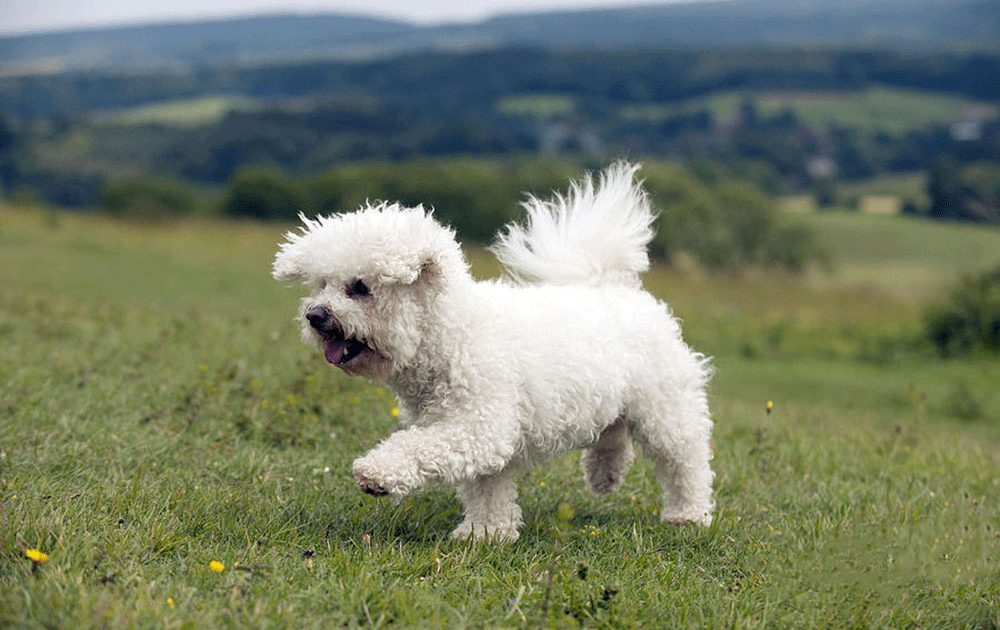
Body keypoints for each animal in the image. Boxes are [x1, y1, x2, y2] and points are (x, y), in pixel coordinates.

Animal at [274, 164, 712, 544]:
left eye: (361, 288)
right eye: (322, 284)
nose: (315, 316)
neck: (455, 334)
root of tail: (618, 286)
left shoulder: (479, 423)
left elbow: (420, 448)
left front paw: (378, 473)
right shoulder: (485, 433)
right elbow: (487, 487)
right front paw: (486, 534)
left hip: (664, 409)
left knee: (686, 462)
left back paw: (689, 514)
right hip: (611, 398)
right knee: (613, 433)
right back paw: (605, 474)